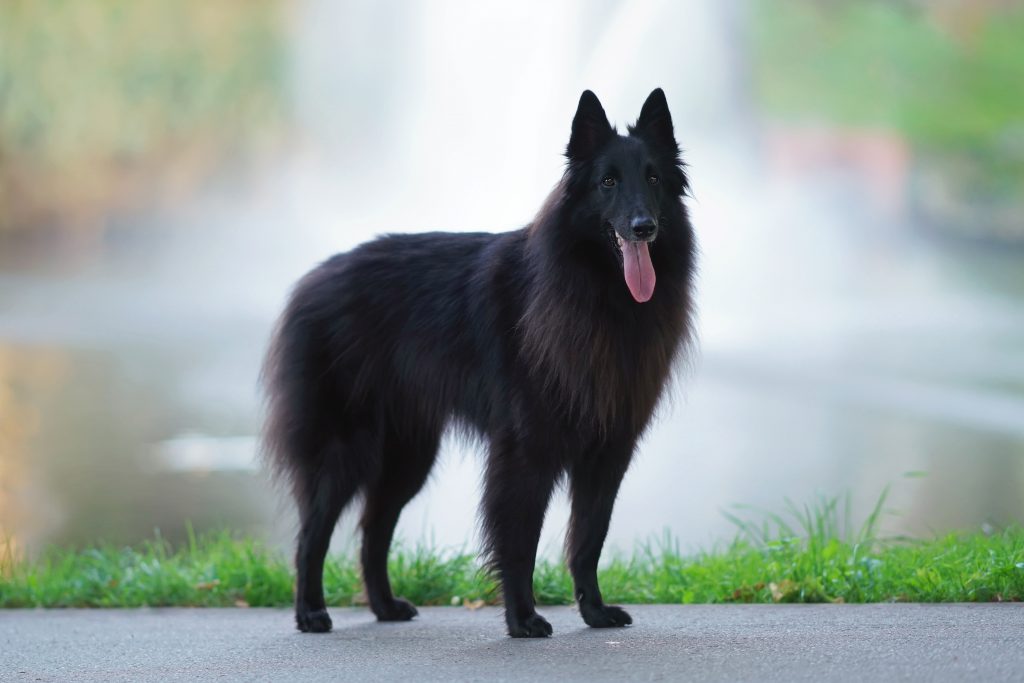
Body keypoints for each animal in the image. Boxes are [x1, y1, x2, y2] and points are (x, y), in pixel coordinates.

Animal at [262, 88, 696, 638]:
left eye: (654, 178)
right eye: (608, 182)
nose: (644, 227)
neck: (596, 294)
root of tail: (312, 279)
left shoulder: (607, 453)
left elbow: (588, 540)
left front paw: (594, 613)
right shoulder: (526, 452)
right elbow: (520, 539)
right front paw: (523, 618)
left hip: (408, 457)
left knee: (372, 531)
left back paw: (385, 606)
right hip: (344, 451)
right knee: (311, 535)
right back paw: (310, 612)